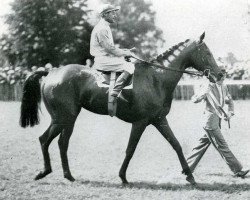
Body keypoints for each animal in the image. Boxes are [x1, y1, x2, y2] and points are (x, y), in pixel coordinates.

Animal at [20, 32, 223, 185]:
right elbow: (130, 149)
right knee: (47, 140)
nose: (220, 74)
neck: (156, 78)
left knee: (60, 143)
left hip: (66, 119)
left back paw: (66, 175)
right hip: (63, 118)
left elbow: (176, 145)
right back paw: (46, 172)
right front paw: (123, 177)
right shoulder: (140, 122)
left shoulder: (159, 120)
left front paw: (190, 175)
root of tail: (51, 72)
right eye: (207, 53)